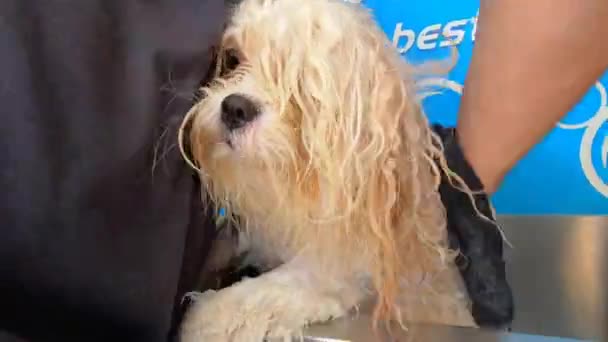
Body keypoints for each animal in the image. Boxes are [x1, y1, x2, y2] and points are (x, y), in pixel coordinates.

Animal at [176, 0, 476, 340]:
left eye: (300, 82)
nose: (235, 108)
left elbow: (280, 287)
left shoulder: (345, 264)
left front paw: (208, 316)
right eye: (232, 58)